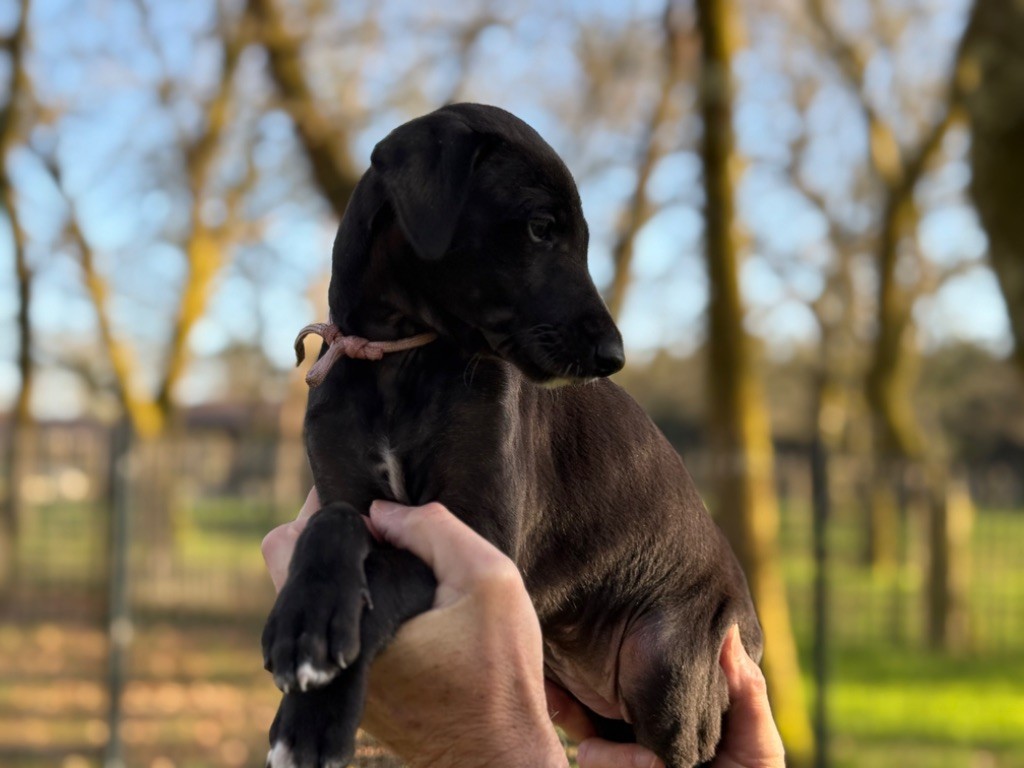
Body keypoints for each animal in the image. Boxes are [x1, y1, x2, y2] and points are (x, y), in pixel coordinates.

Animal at [262, 103, 763, 768]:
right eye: (539, 228)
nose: (615, 356)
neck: (399, 357)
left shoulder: (477, 531)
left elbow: (390, 572)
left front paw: (314, 713)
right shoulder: (345, 491)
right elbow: (336, 524)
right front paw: (307, 625)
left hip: (668, 665)